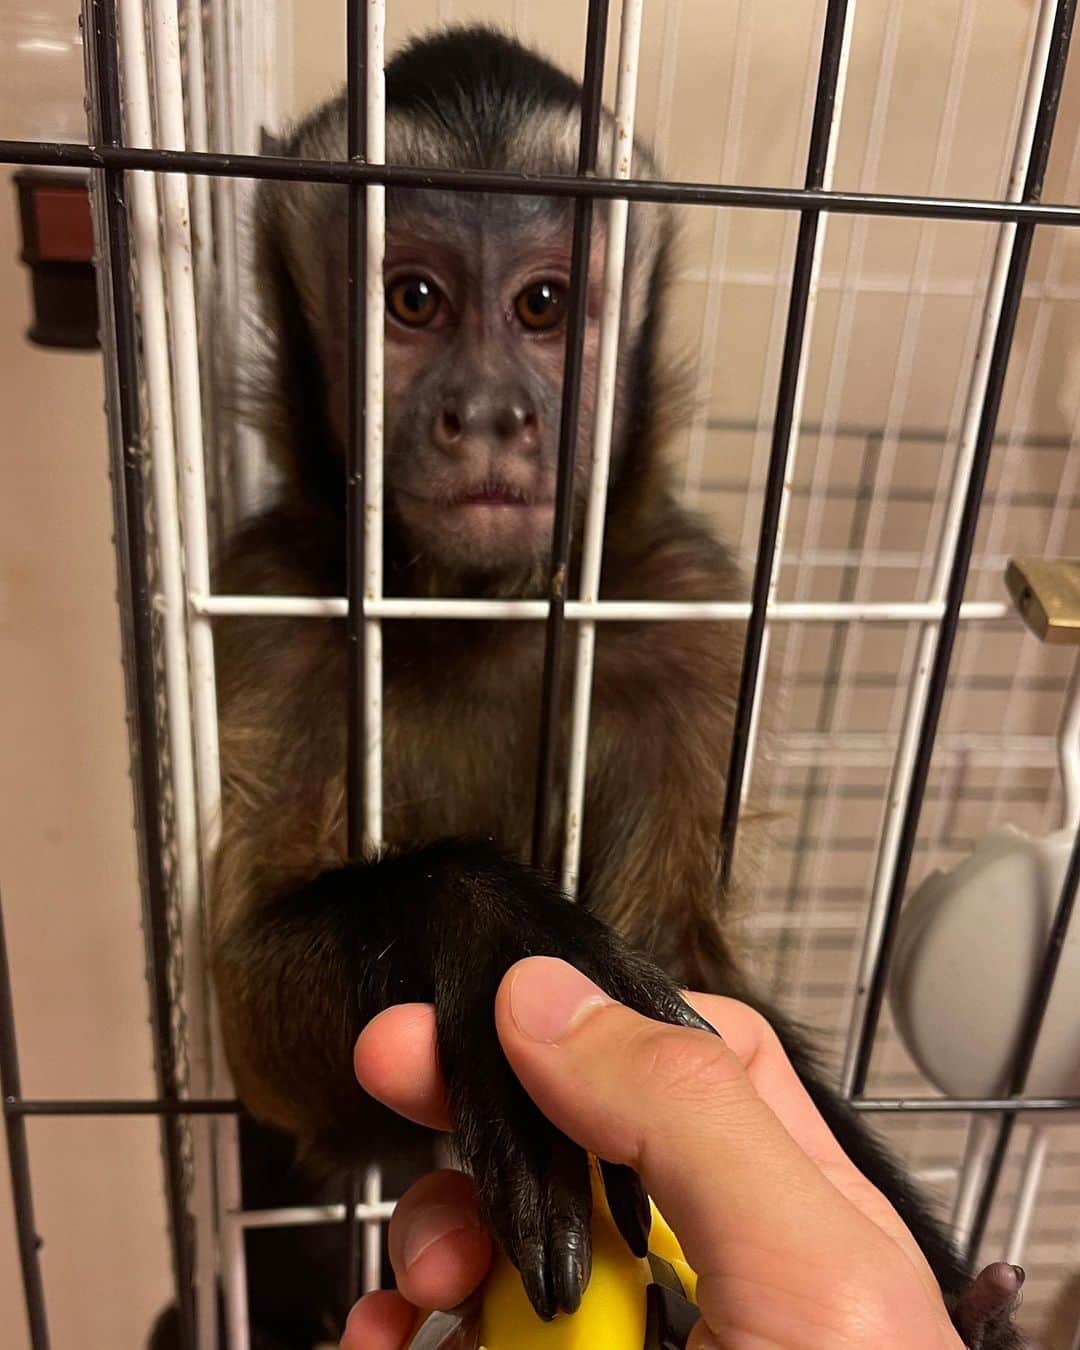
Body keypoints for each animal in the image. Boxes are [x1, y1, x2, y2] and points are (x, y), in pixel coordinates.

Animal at [191, 25, 1025, 1350]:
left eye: (543, 305)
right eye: (413, 300)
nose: (490, 414)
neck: (472, 603)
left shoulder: (677, 607)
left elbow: (689, 968)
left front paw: (946, 1291)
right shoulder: (272, 602)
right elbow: (250, 1013)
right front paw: (494, 933)